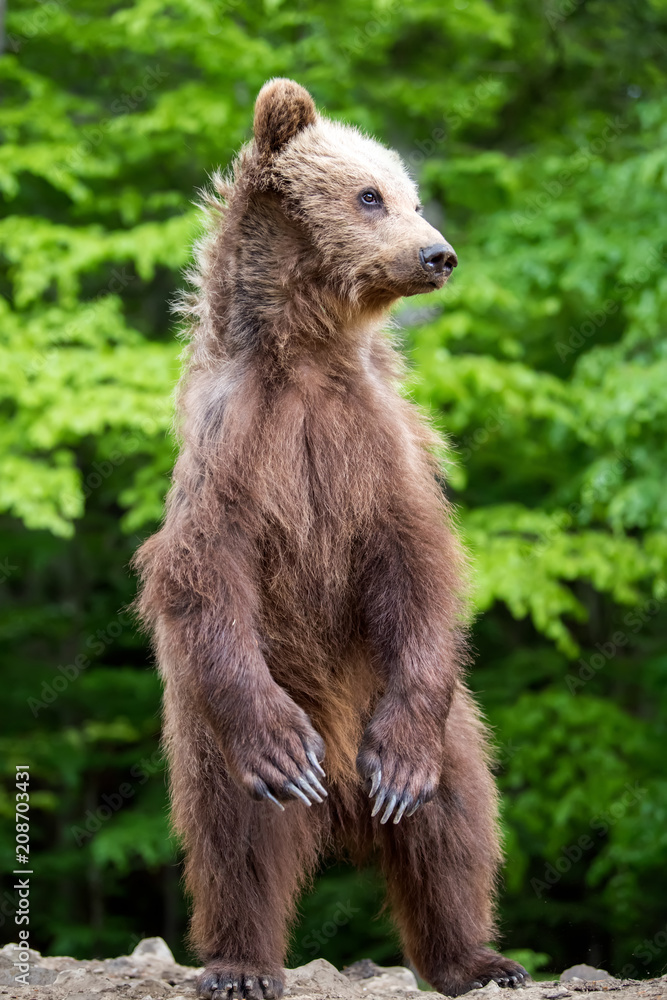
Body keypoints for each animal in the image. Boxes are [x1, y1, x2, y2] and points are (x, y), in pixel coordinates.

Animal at [133, 79, 529, 999]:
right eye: (368, 195)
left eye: (411, 195)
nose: (437, 254)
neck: (308, 356)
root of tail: (343, 792)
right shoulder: (233, 451)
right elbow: (205, 575)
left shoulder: (379, 452)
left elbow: (419, 567)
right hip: (220, 730)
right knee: (236, 835)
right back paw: (241, 963)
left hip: (434, 721)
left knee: (454, 820)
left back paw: (477, 956)